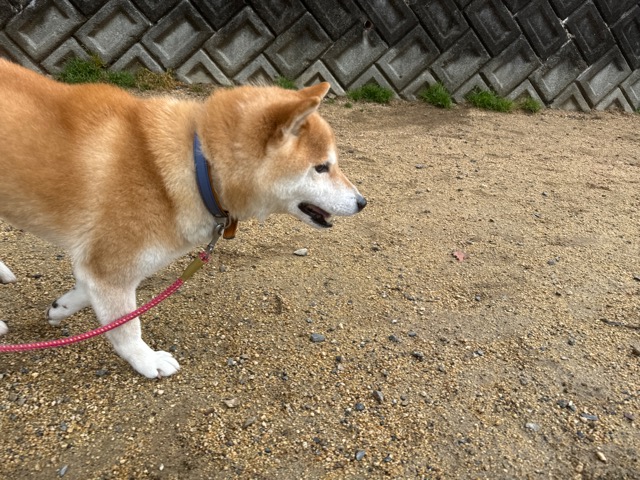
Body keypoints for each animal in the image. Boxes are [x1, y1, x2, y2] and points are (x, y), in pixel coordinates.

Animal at [0, 59, 366, 378]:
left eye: (331, 164)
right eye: (322, 167)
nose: (362, 202)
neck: (199, 165)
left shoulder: (99, 263)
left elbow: (87, 290)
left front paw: (61, 307)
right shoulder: (110, 267)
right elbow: (127, 326)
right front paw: (146, 361)